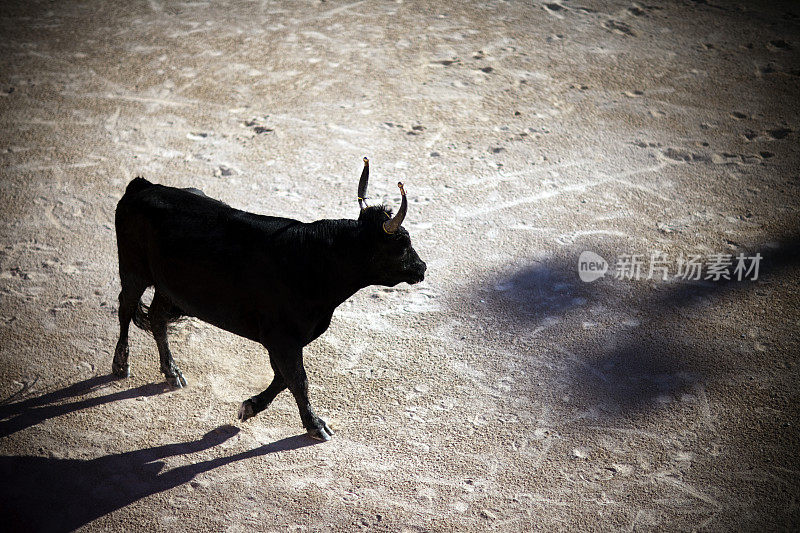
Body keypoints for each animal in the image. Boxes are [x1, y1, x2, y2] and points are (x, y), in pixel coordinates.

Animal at [113, 159, 428, 440]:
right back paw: (121, 364)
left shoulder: (284, 341)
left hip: (168, 287)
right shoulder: (281, 338)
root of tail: (143, 186)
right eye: (402, 245)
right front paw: (315, 425)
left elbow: (283, 379)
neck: (315, 260)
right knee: (125, 308)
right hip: (133, 270)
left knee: (156, 317)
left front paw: (251, 406)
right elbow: (298, 380)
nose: (422, 267)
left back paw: (172, 372)